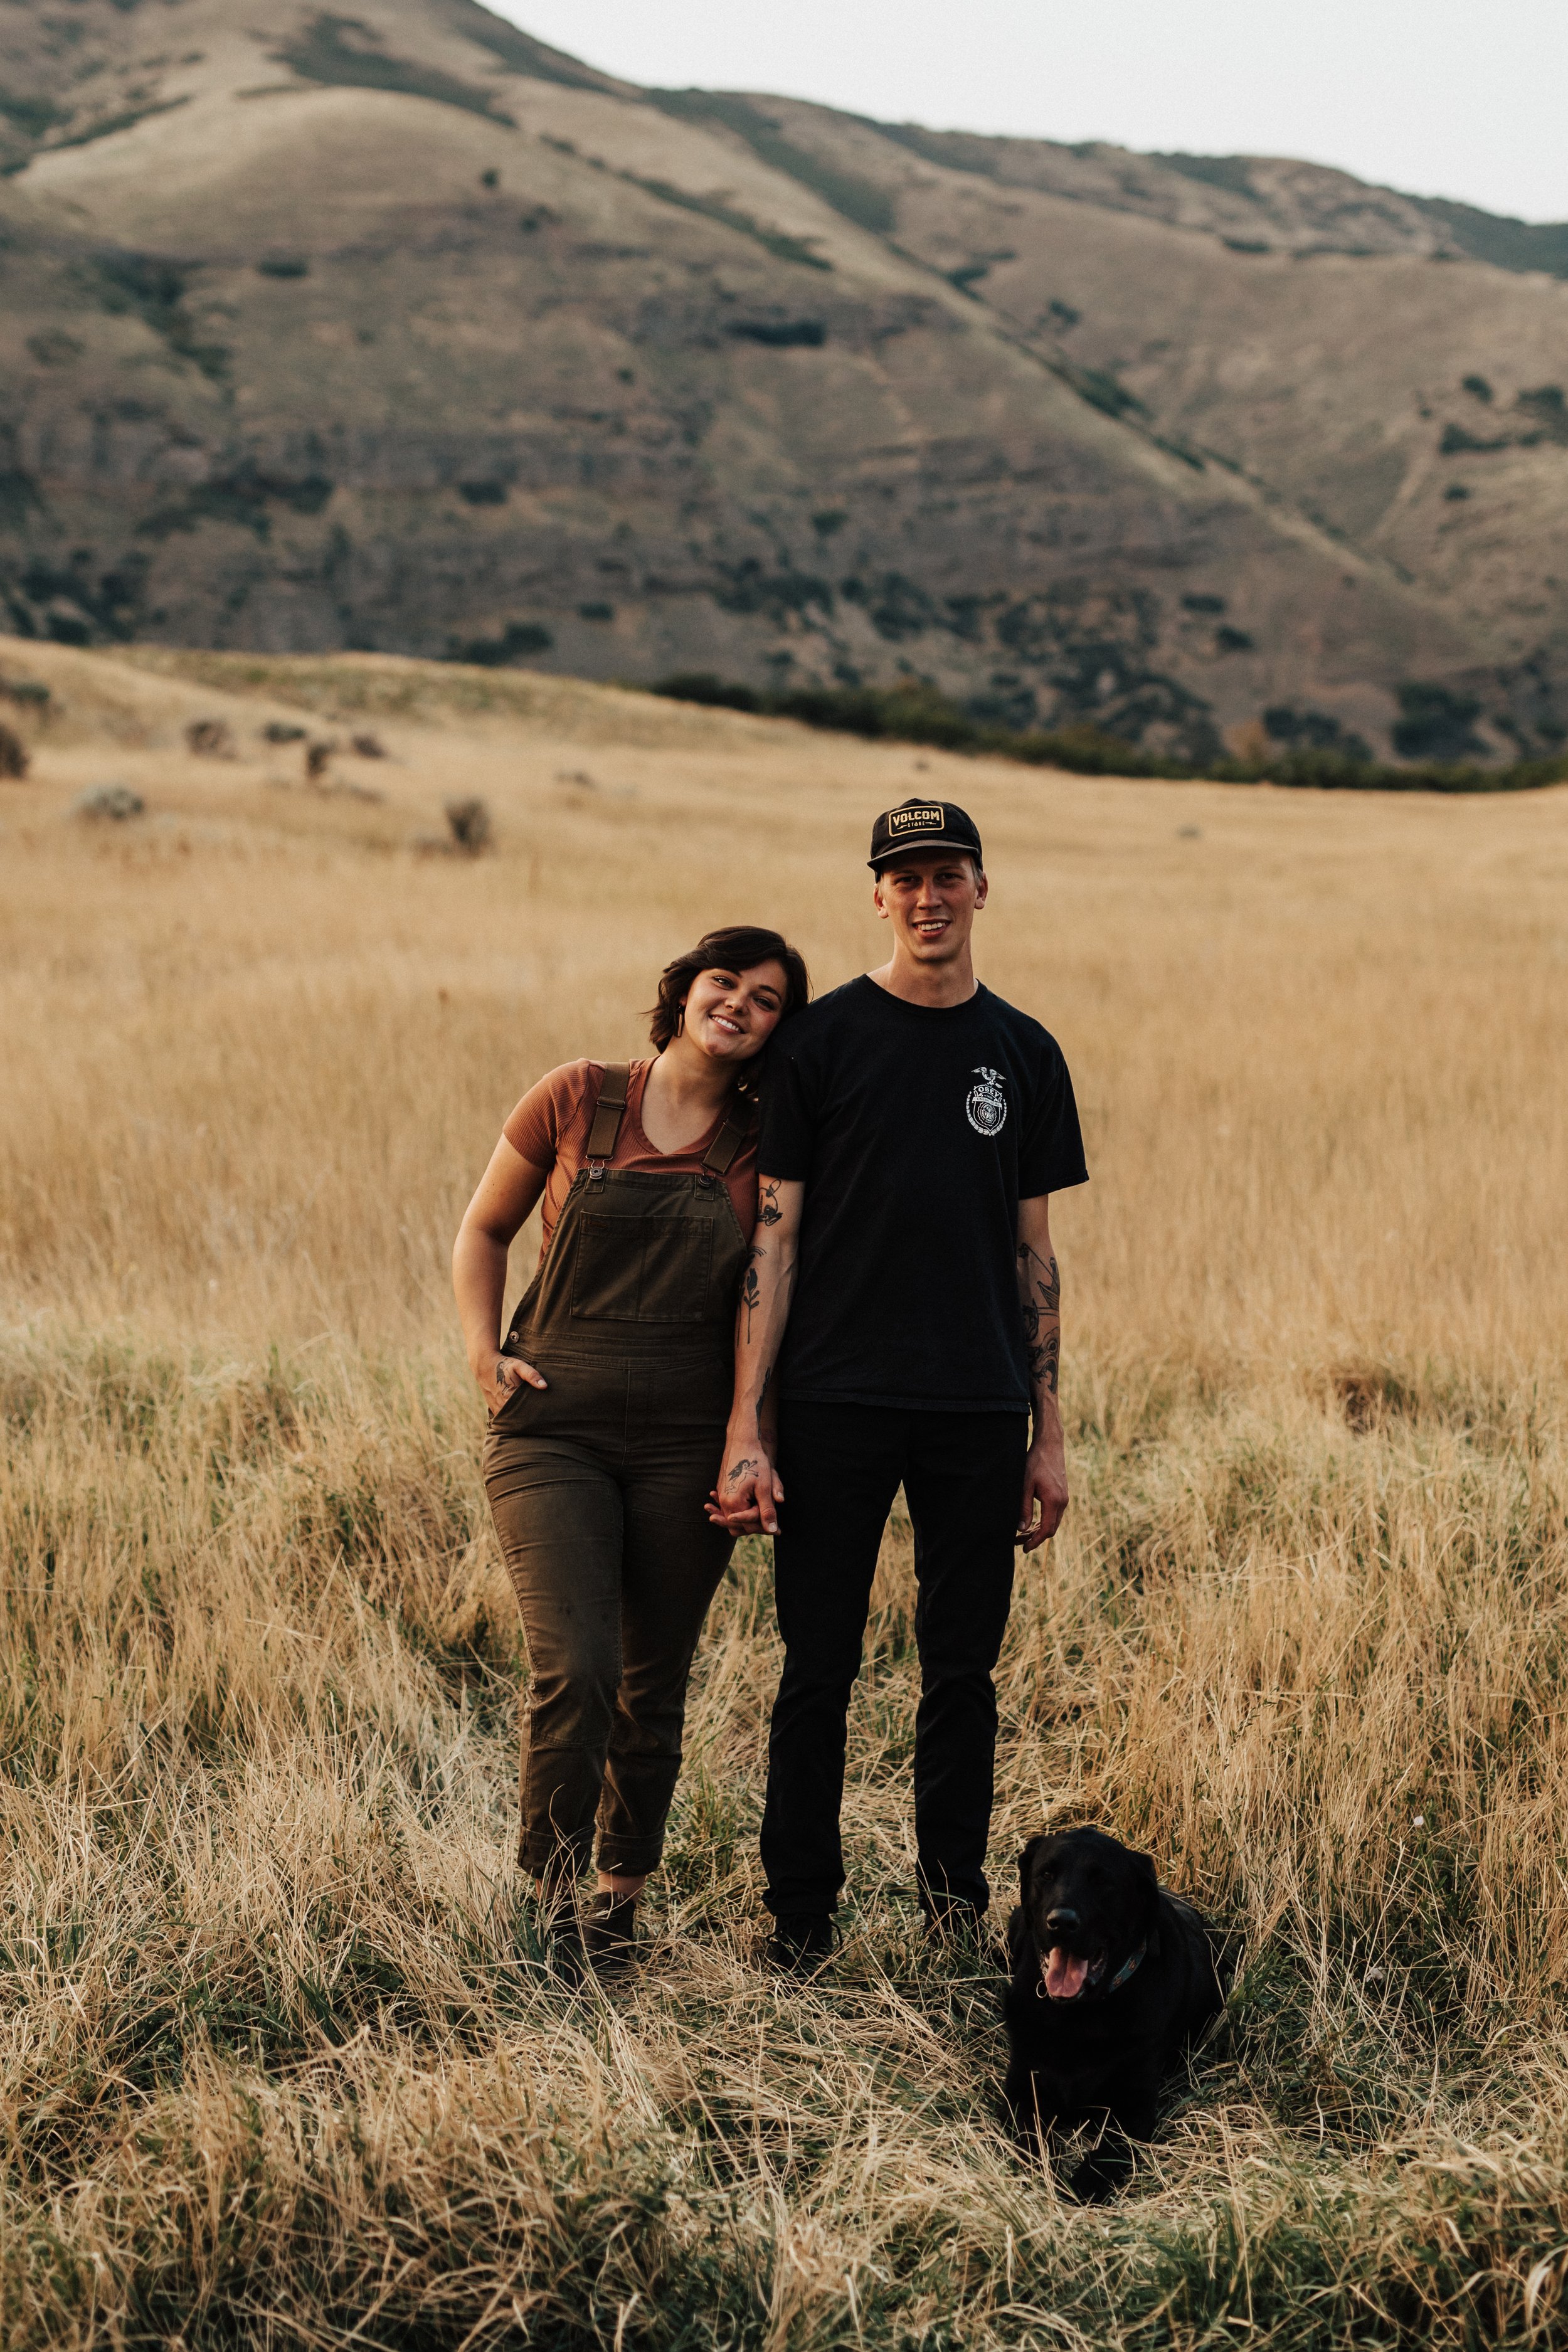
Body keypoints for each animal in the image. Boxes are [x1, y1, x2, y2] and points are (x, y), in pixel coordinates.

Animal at [1006, 1825, 1222, 2192]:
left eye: (1102, 1881)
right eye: (1046, 1875)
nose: (1061, 1923)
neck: (1079, 2018)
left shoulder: (1134, 2107)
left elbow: (1103, 2161)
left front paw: (1073, 2192)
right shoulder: (1022, 2088)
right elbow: (1031, 2144)